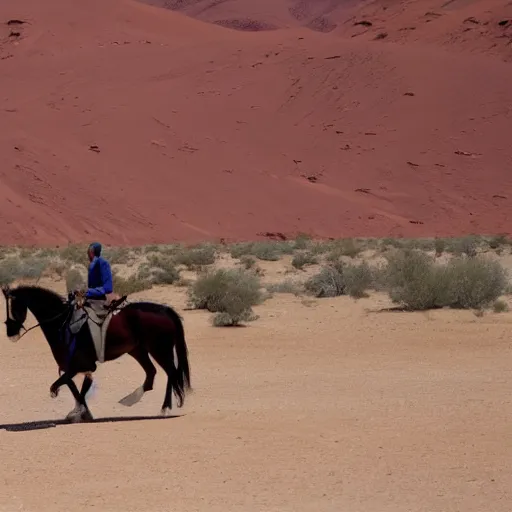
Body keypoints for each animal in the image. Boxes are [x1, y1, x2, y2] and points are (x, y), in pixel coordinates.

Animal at [1, 286, 191, 422]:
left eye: (14, 308)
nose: (11, 334)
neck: (62, 323)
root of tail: (165, 310)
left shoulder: (80, 365)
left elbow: (60, 385)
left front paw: (80, 412)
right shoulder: (75, 366)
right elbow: (74, 386)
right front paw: (80, 412)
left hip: (159, 349)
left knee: (171, 373)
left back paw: (165, 408)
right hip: (138, 350)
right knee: (152, 373)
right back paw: (131, 399)